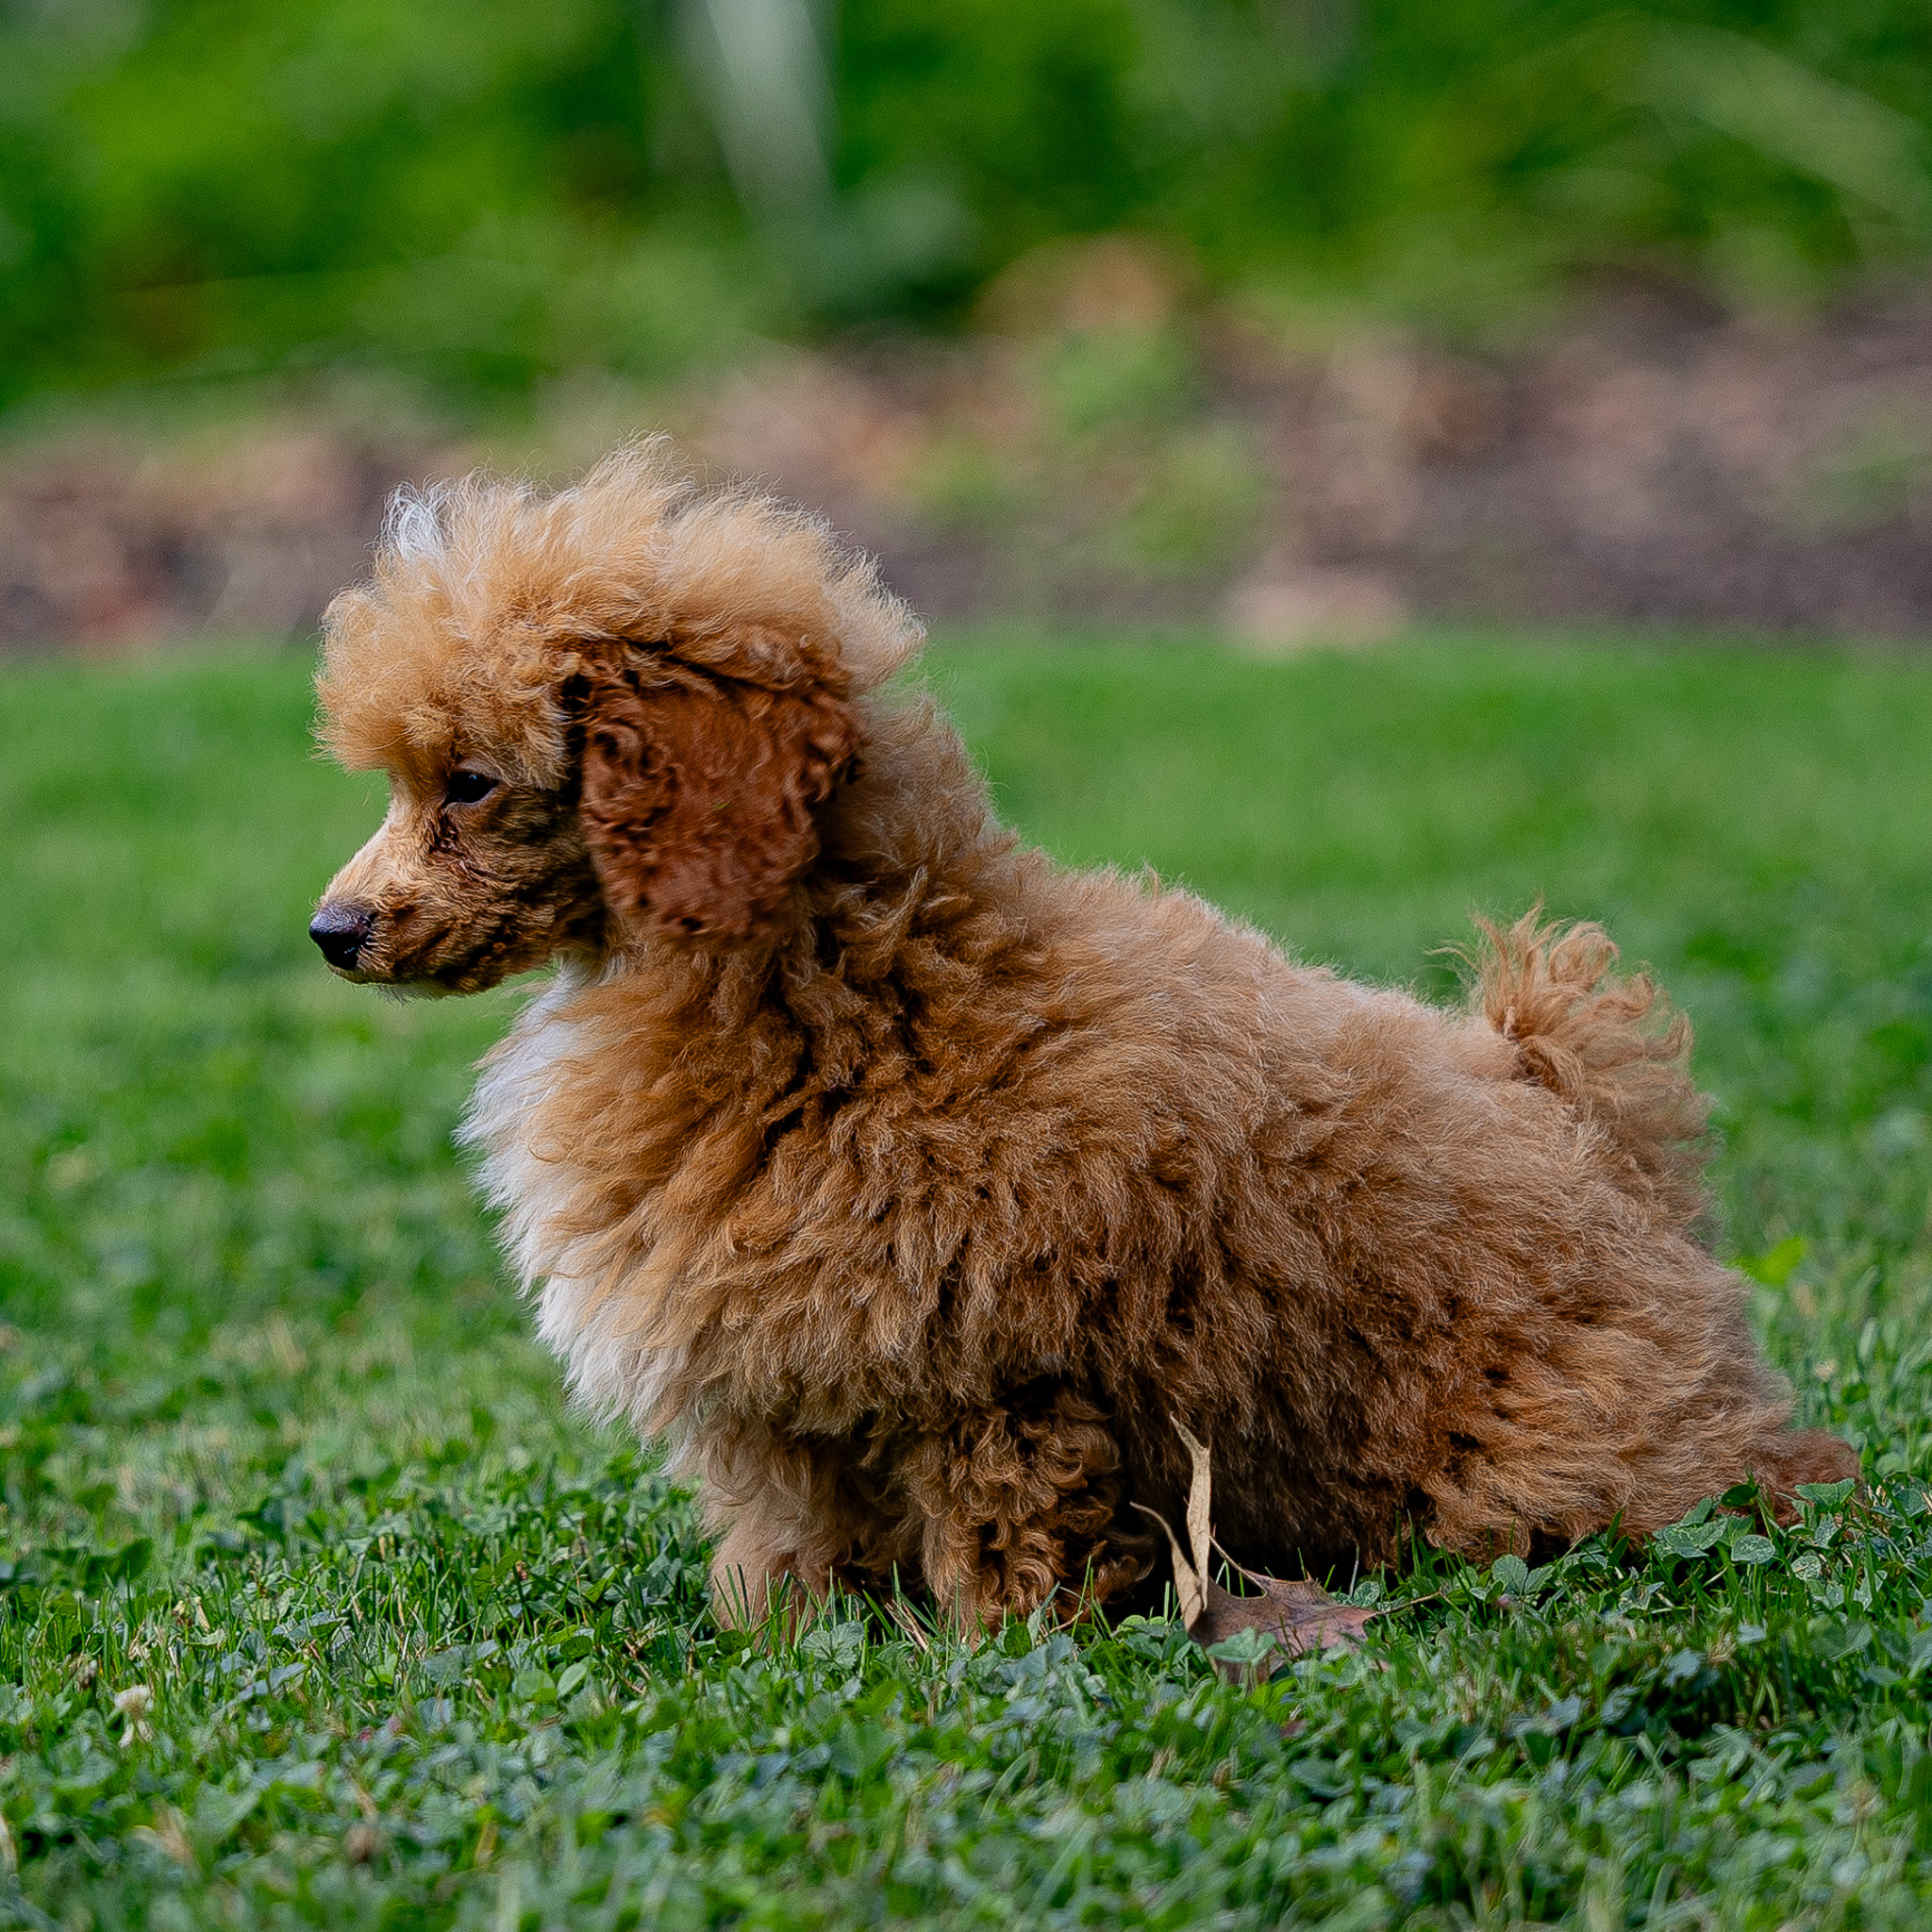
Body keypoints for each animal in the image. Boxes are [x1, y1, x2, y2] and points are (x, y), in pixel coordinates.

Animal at [312, 444, 1855, 1623]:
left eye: (469, 784)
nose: (333, 931)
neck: (838, 973)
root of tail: (1590, 1128)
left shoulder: (997, 1372)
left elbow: (1001, 1540)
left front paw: (991, 1656)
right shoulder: (798, 1396)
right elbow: (789, 1534)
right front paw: (777, 1641)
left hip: (1536, 1456)